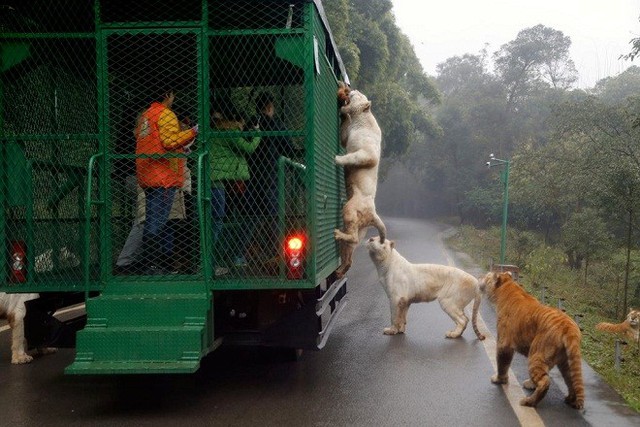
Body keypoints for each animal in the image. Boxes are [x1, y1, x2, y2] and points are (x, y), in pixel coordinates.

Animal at [480, 272, 584, 410]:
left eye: (487, 276)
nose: (480, 277)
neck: (508, 286)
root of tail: (569, 327)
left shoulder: (504, 343)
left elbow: (502, 363)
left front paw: (499, 380)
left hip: (537, 354)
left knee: (545, 381)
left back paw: (528, 401)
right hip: (565, 360)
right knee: (570, 379)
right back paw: (570, 400)